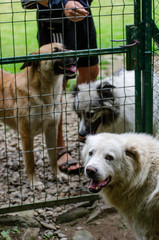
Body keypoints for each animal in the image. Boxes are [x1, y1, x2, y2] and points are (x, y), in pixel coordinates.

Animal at [0, 43, 77, 189]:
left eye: (65, 46)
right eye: (55, 51)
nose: (76, 53)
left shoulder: (52, 130)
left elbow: (53, 157)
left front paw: (58, 175)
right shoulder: (26, 135)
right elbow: (30, 162)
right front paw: (34, 182)